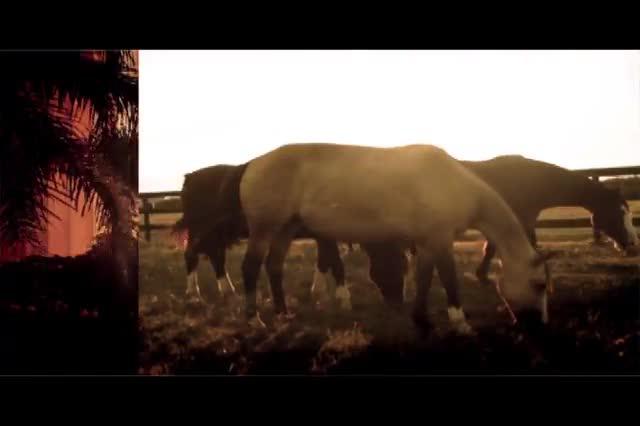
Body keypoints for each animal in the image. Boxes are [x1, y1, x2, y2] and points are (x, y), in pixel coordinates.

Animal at [235, 143, 556, 330]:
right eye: (539, 284)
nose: (539, 324)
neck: (451, 182)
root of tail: (253, 164)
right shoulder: (440, 240)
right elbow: (448, 278)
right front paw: (458, 319)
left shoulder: (426, 243)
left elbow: (425, 278)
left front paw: (421, 318)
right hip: (265, 227)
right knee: (250, 267)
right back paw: (254, 318)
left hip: (286, 228)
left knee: (274, 266)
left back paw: (283, 313)